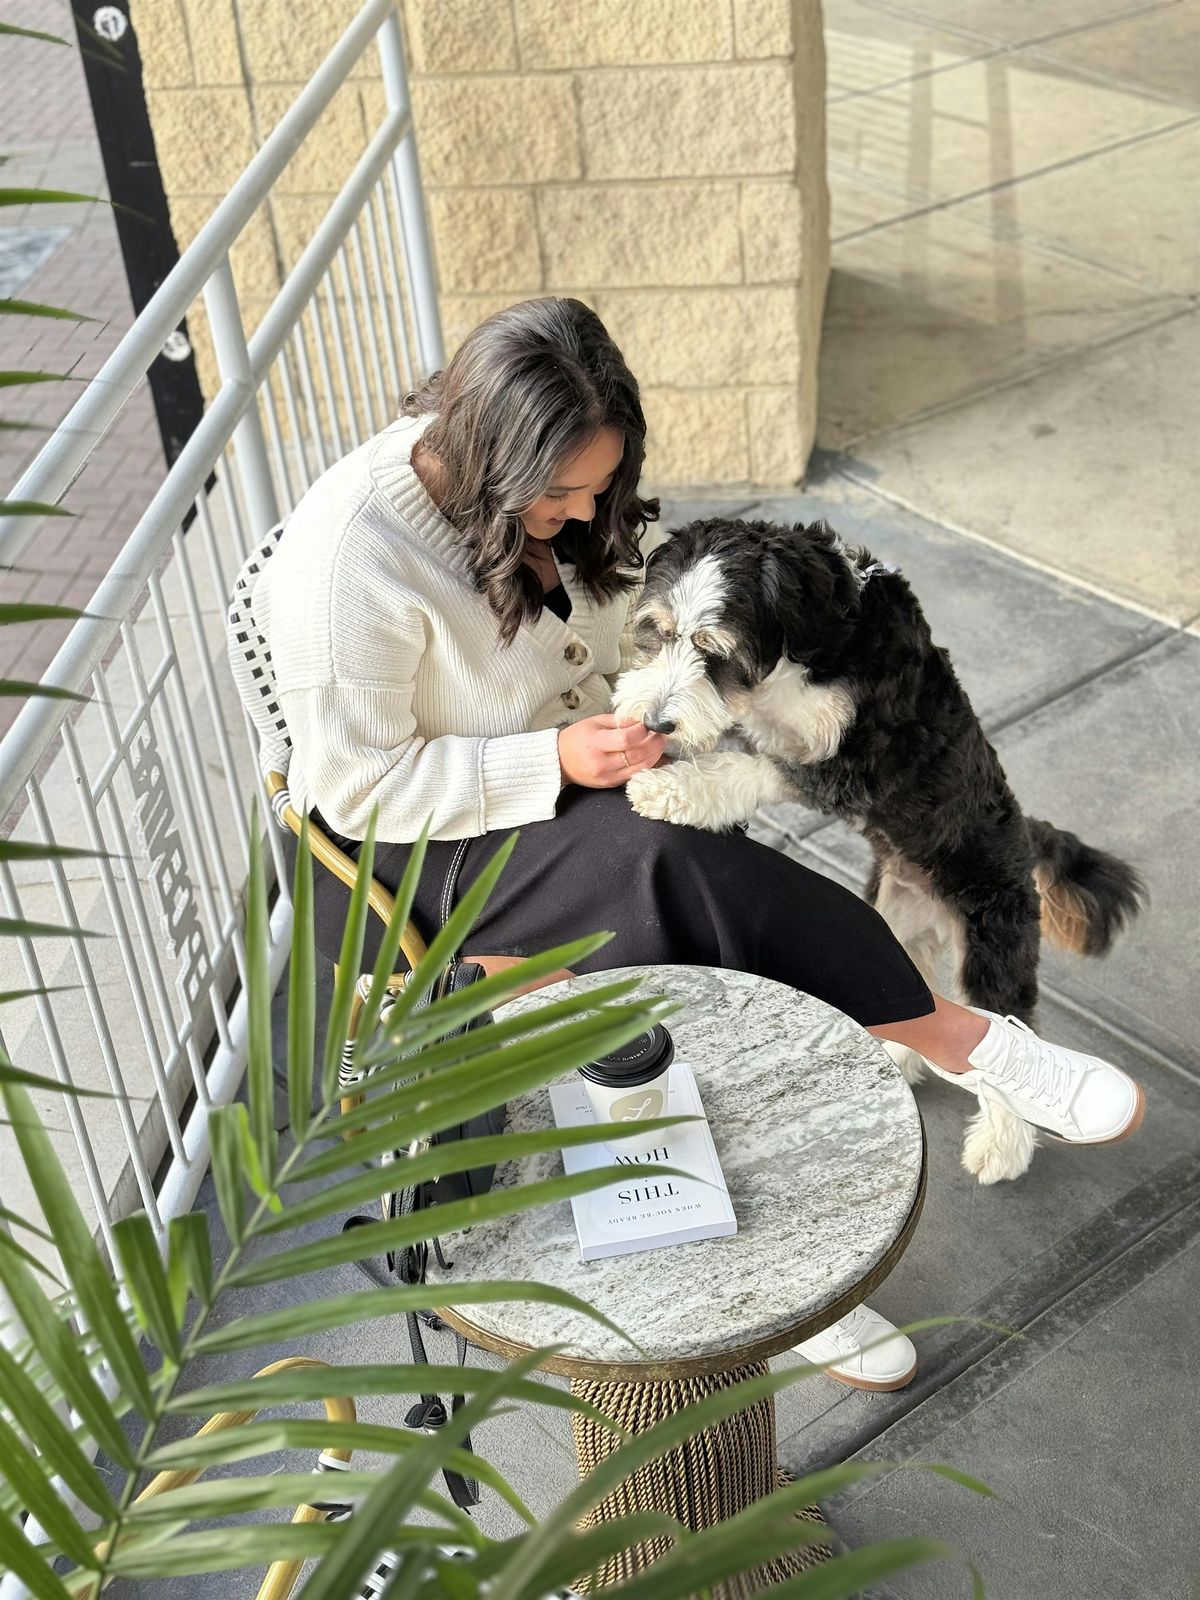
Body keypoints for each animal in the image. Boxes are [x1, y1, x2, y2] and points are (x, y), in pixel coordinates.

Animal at [613, 517, 1145, 1184]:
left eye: (717, 652)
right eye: (655, 634)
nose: (655, 723)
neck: (819, 630)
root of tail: (1026, 836)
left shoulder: (859, 762)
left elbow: (758, 767)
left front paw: (673, 790)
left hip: (992, 944)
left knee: (1002, 1020)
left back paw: (1003, 1145)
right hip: (898, 921)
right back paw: (900, 1054)